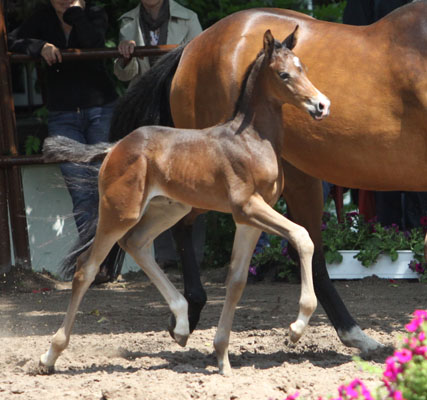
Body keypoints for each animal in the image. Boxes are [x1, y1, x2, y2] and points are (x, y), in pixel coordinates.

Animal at [42, 28, 332, 376]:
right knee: (86, 268)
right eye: (284, 74)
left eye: (304, 68)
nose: (321, 104)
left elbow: (236, 281)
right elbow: (303, 237)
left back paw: (180, 324)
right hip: (119, 213)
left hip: (168, 209)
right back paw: (49, 355)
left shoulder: (248, 219)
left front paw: (222, 357)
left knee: (135, 243)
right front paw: (296, 328)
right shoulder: (248, 206)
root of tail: (115, 147)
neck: (251, 140)